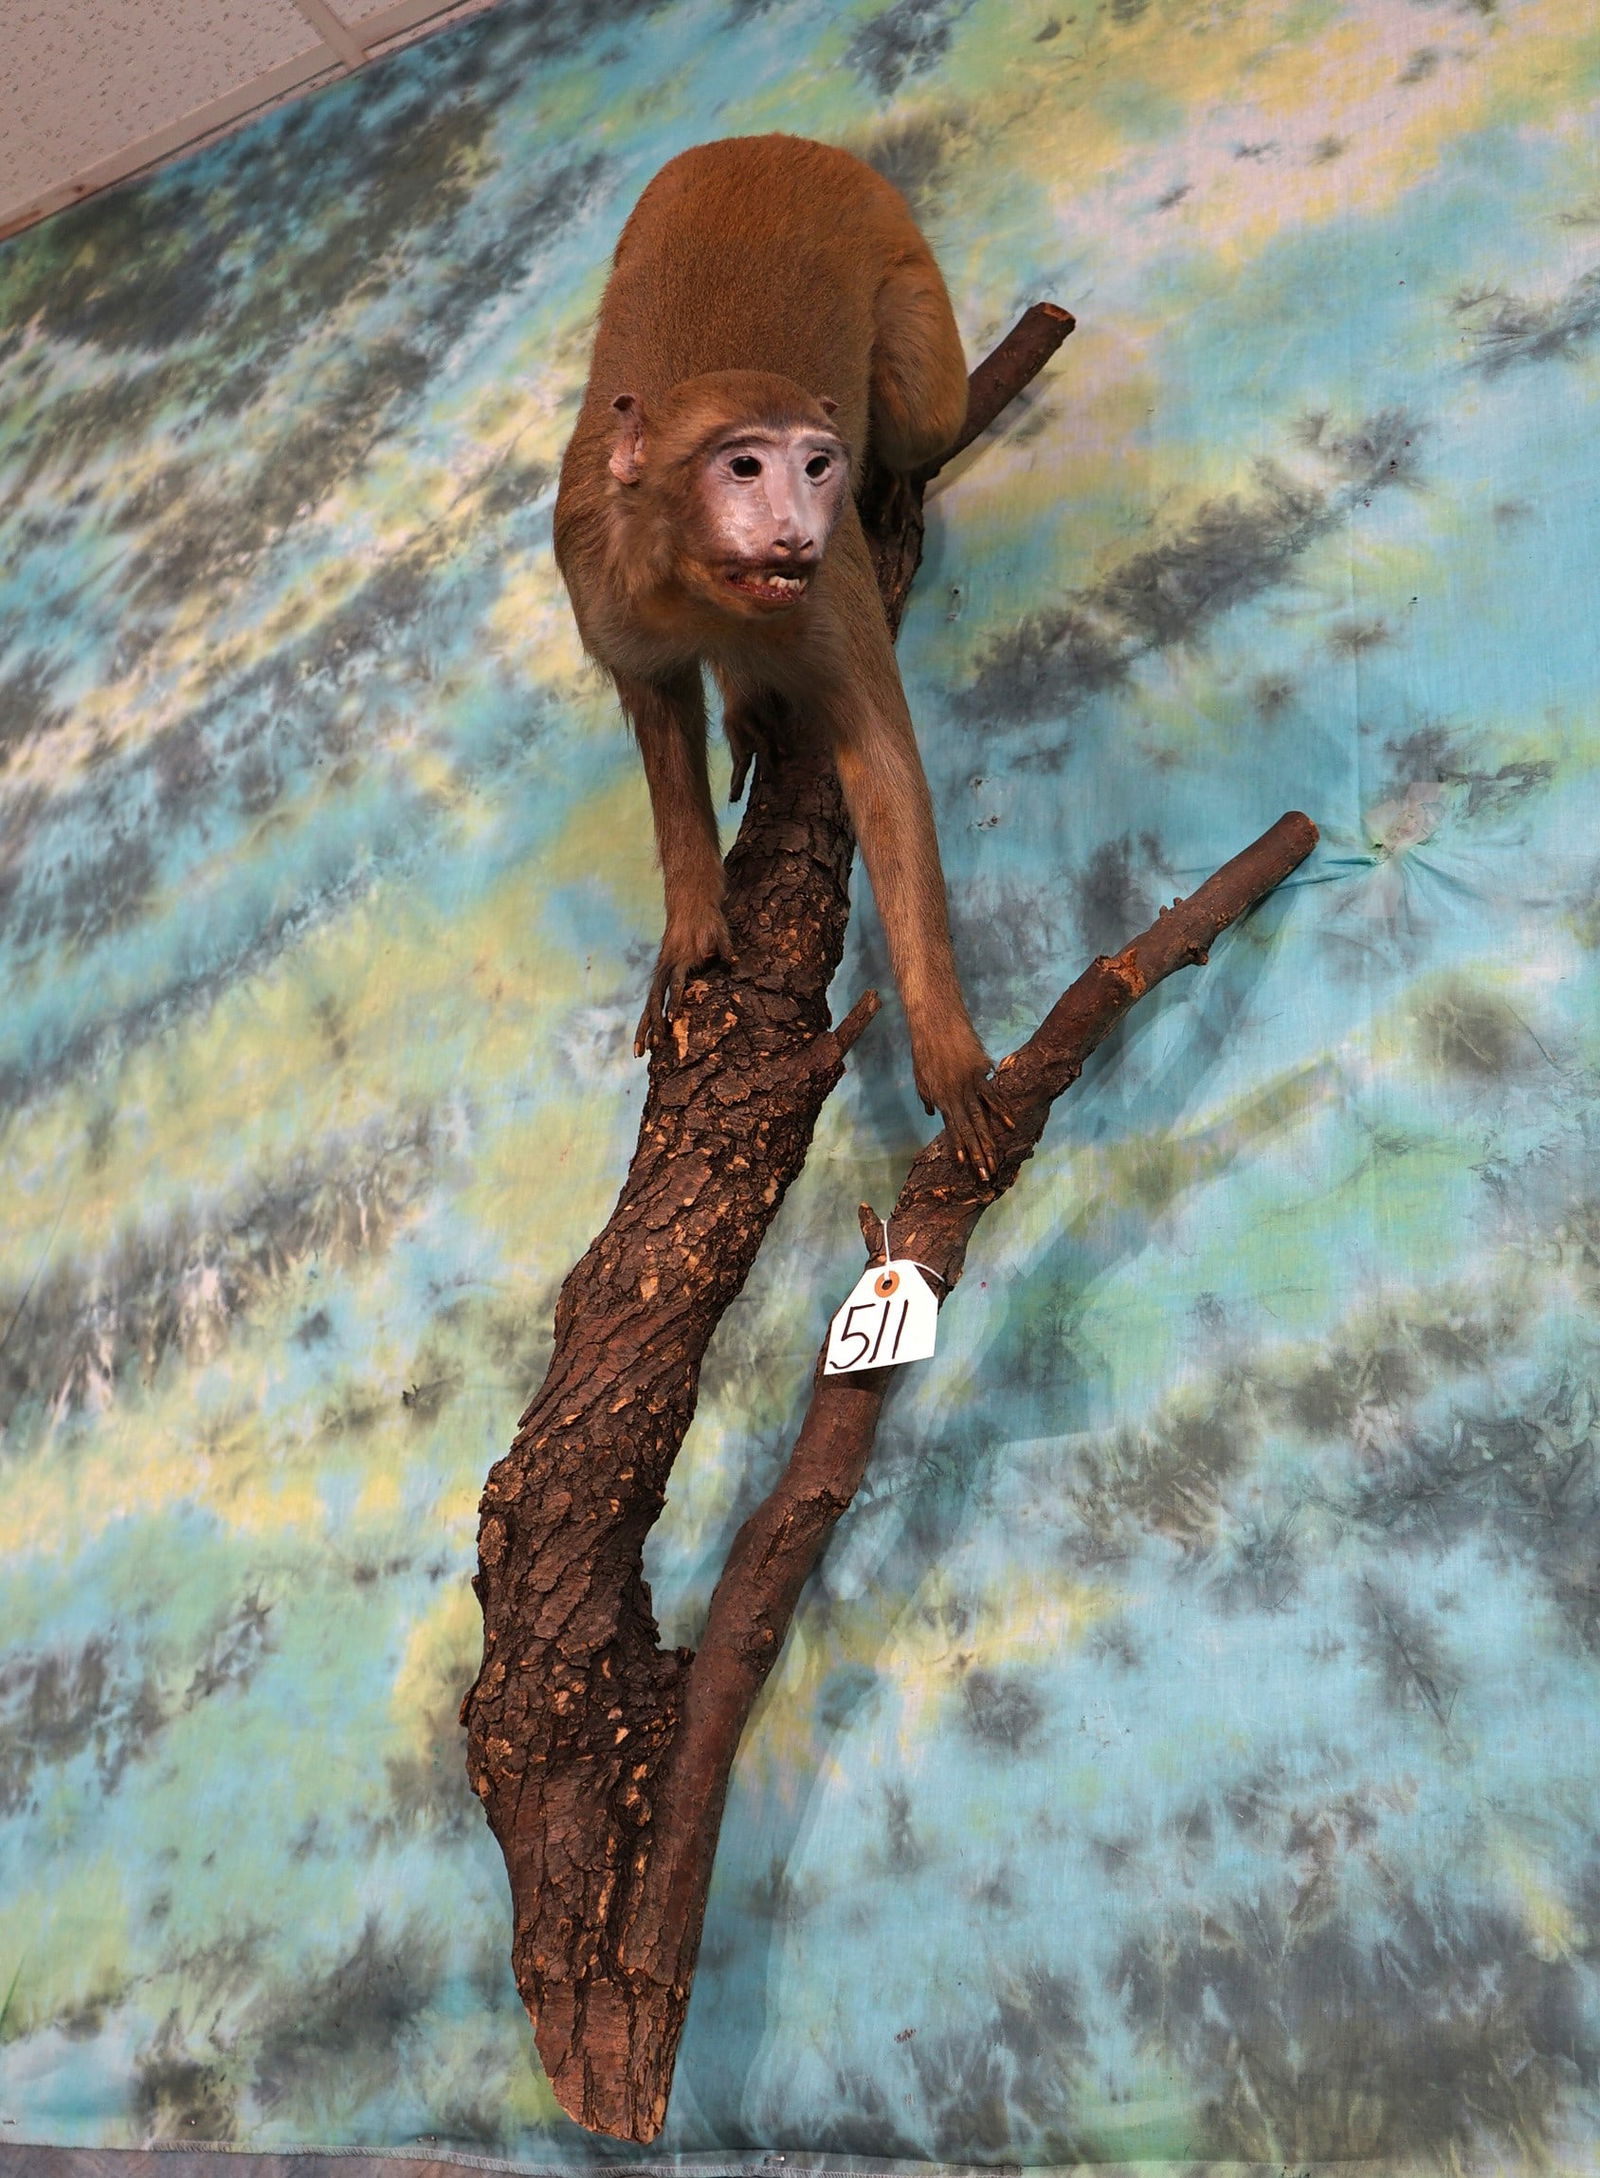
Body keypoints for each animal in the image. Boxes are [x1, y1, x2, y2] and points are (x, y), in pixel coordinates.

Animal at [553, 132, 1005, 1178]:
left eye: (815, 466)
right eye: (744, 466)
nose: (796, 528)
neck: (691, 585)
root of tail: (781, 144)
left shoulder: (828, 591)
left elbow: (882, 765)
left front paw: (944, 1041)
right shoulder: (597, 578)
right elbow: (658, 717)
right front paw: (693, 921)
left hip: (907, 275)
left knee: (922, 413)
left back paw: (901, 480)